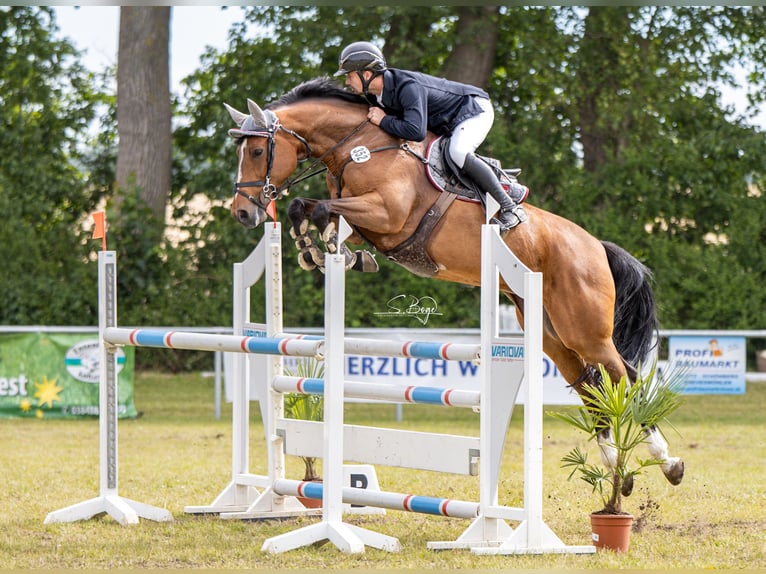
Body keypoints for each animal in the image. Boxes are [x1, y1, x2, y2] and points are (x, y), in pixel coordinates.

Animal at [222, 76, 684, 490]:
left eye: (258, 150)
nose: (242, 213)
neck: (359, 147)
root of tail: (595, 246)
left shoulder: (386, 215)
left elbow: (321, 211)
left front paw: (328, 250)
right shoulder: (365, 219)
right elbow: (308, 207)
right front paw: (320, 251)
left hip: (585, 329)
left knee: (624, 376)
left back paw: (666, 461)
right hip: (551, 333)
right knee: (593, 385)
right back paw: (616, 470)